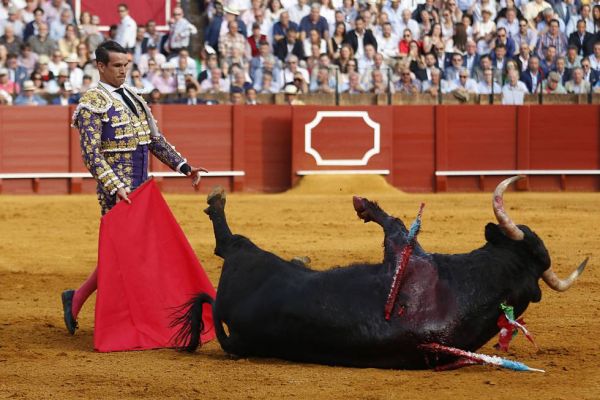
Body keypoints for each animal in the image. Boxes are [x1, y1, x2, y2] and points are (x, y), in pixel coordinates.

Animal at [173, 177, 584, 370]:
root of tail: (225, 318)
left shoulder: (406, 252)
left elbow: (395, 224)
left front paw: (366, 205)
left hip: (246, 256)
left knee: (226, 243)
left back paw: (217, 201)